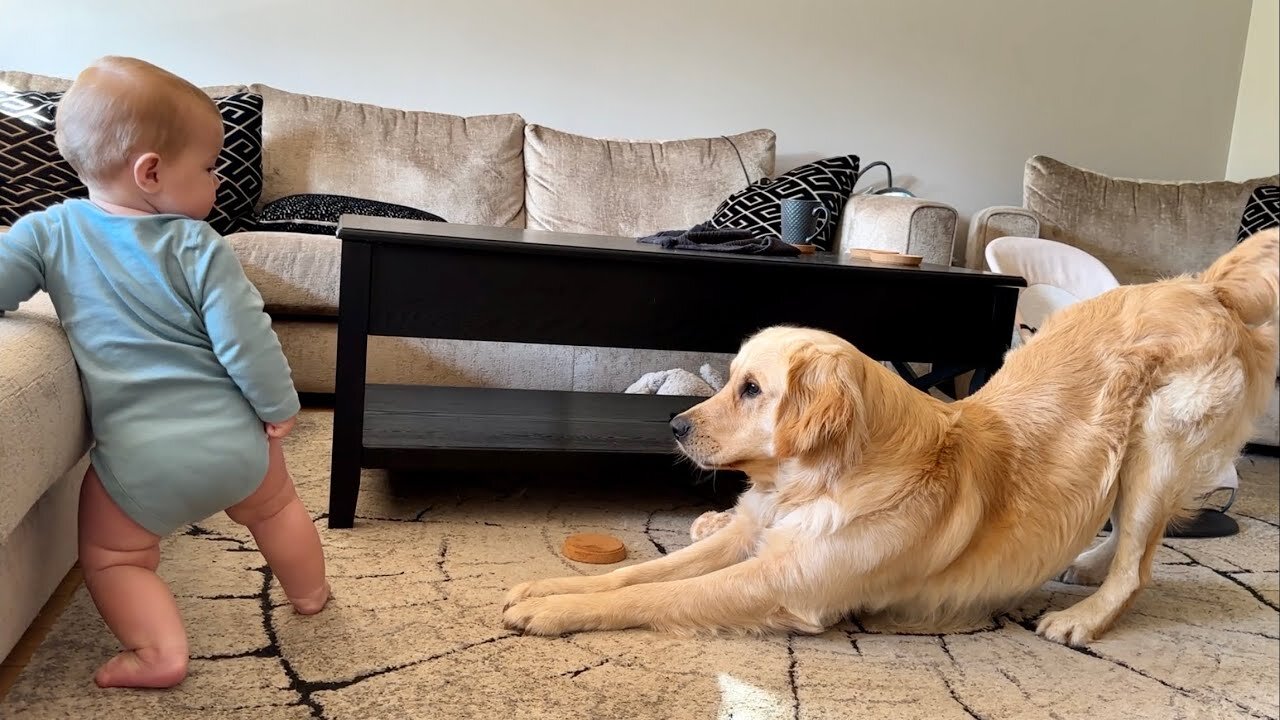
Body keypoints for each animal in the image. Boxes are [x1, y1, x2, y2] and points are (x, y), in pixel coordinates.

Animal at [501, 229, 1280, 645]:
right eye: (731, 379)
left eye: (751, 389)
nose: (674, 425)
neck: (817, 479)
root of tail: (1203, 285)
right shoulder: (749, 534)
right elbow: (638, 572)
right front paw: (548, 583)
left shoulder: (785, 581)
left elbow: (657, 597)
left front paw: (554, 610)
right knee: (1131, 537)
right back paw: (1086, 565)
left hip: (1158, 440)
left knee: (1141, 562)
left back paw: (1084, 615)